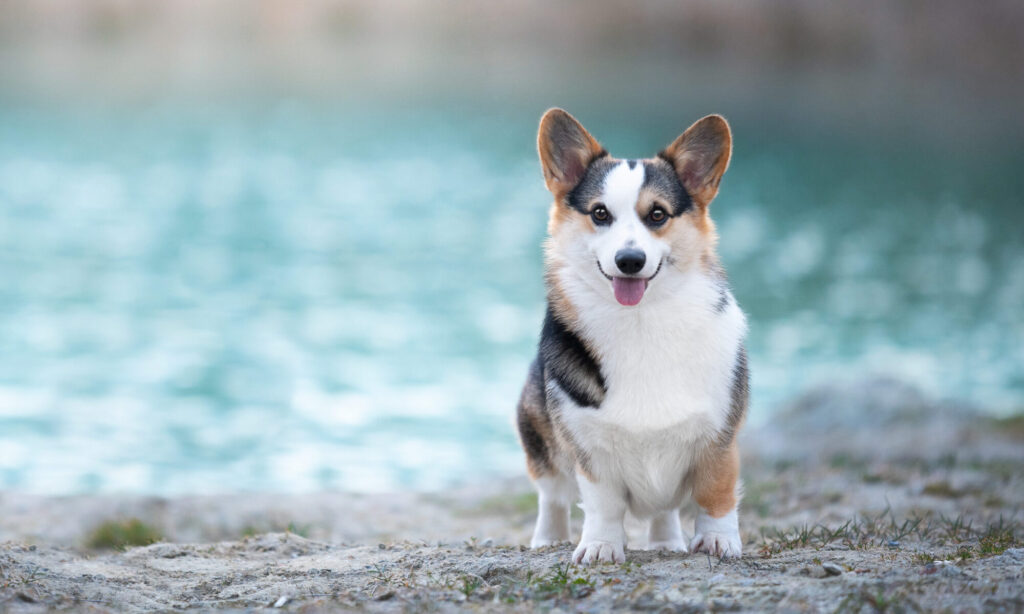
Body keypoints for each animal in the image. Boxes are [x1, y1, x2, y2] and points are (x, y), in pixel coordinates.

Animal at [516, 107, 749, 564]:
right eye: (600, 214)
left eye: (657, 215)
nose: (629, 260)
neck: (640, 321)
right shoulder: (590, 449)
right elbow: (602, 503)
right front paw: (601, 546)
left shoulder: (720, 435)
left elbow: (717, 491)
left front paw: (719, 540)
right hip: (536, 432)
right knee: (552, 495)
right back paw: (548, 539)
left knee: (664, 510)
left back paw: (666, 543)